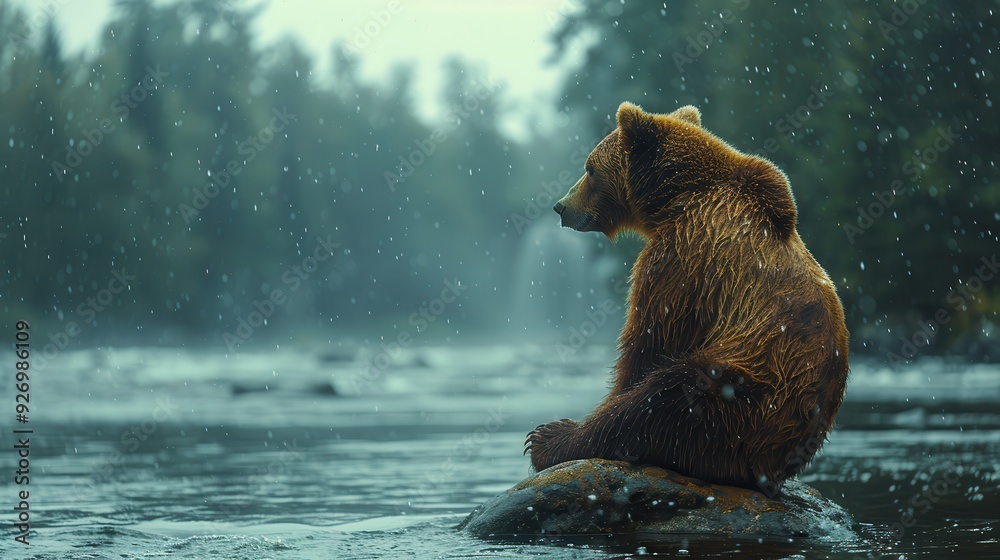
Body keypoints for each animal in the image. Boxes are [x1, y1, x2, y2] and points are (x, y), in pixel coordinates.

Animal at [525, 102, 850, 493]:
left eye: (589, 168)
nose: (560, 206)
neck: (672, 200)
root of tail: (769, 471)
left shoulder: (682, 256)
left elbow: (649, 344)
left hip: (744, 399)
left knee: (663, 396)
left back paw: (549, 438)